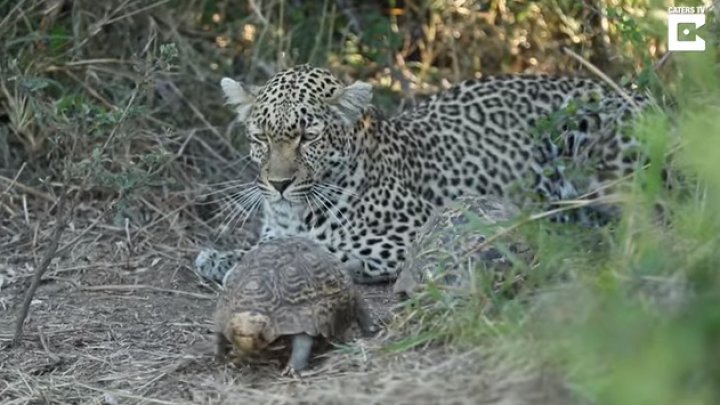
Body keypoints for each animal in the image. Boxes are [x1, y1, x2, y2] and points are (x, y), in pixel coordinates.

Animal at [194, 64, 656, 284]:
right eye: (261, 137)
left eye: (308, 136)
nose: (279, 184)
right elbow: (262, 248)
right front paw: (219, 257)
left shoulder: (414, 231)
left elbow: (329, 250)